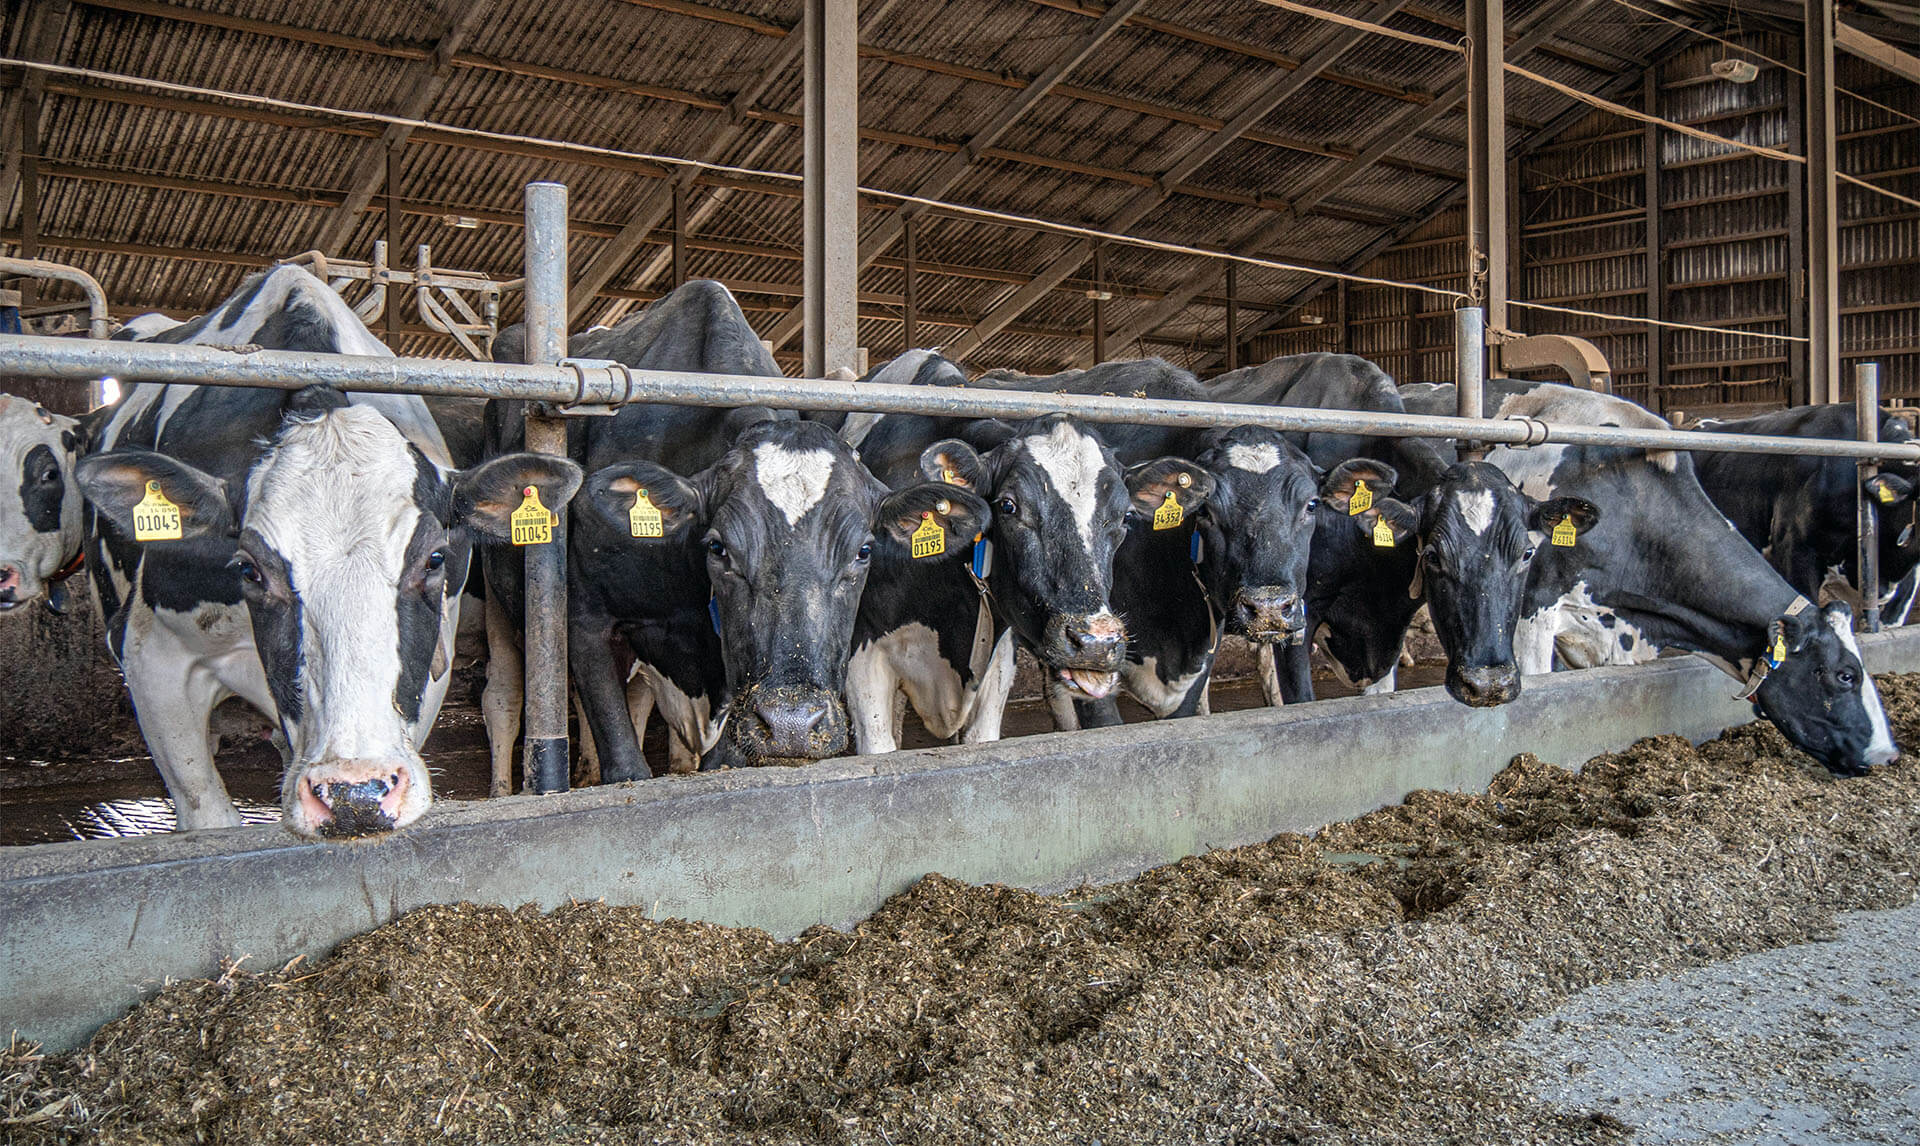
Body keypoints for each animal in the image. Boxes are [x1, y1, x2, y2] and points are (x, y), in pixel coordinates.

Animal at [84, 270, 576, 840]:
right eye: (249, 570)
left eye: (433, 560)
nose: (352, 793)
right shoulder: (151, 654)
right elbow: (208, 816)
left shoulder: (430, 665)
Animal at [483, 282, 990, 783]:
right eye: (718, 548)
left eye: (864, 551)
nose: (792, 723)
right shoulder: (584, 619)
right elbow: (623, 759)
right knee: (508, 696)